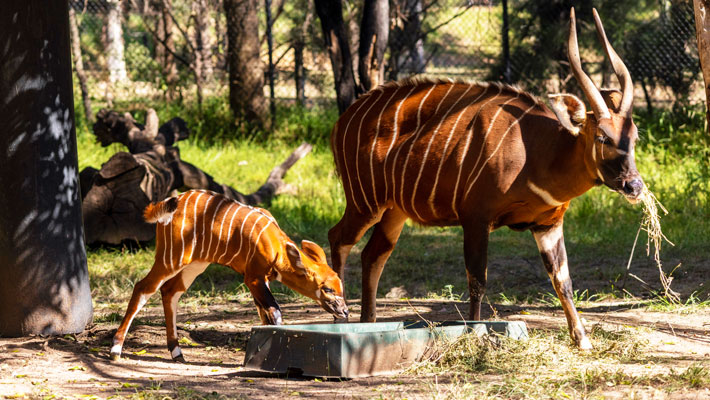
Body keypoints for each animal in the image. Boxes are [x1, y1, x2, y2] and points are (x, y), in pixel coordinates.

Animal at [110, 189, 350, 360]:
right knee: (143, 287)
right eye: (327, 289)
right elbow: (274, 312)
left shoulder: (260, 280)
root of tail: (167, 207)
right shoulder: (253, 277)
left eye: (341, 287)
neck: (277, 248)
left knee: (170, 291)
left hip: (195, 264)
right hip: (171, 258)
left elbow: (265, 315)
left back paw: (177, 353)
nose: (345, 311)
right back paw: (115, 350)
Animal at [328, 7, 644, 348]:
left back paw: (368, 323)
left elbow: (563, 280)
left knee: (373, 254)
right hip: (365, 203)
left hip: (394, 211)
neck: (537, 151)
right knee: (338, 238)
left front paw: (582, 340)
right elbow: (478, 279)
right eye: (602, 137)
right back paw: (340, 319)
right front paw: (476, 332)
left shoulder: (548, 224)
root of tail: (342, 120)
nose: (634, 185)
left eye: (634, 136)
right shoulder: (476, 218)